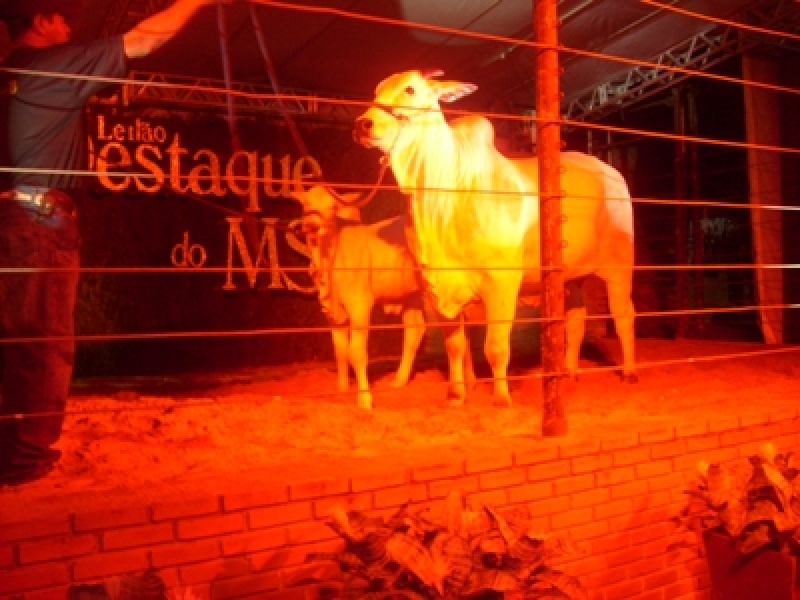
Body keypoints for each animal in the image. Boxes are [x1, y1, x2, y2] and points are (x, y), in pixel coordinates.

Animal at [290, 185, 475, 409]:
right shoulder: (332, 311)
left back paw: (459, 393)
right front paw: (342, 390)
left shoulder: (359, 304)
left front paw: (364, 399)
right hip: (413, 294)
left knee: (456, 337)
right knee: (421, 330)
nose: (312, 226)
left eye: (333, 207)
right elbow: (340, 351)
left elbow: (356, 352)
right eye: (305, 204)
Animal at [354, 70, 637, 407]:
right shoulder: (435, 286)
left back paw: (629, 373)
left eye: (410, 89)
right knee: (576, 320)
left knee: (623, 315)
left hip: (619, 266)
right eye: (376, 91)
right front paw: (456, 394)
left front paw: (501, 398)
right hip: (571, 277)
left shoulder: (502, 284)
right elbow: (455, 346)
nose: (363, 124)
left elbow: (496, 347)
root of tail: (610, 170)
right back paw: (569, 375)